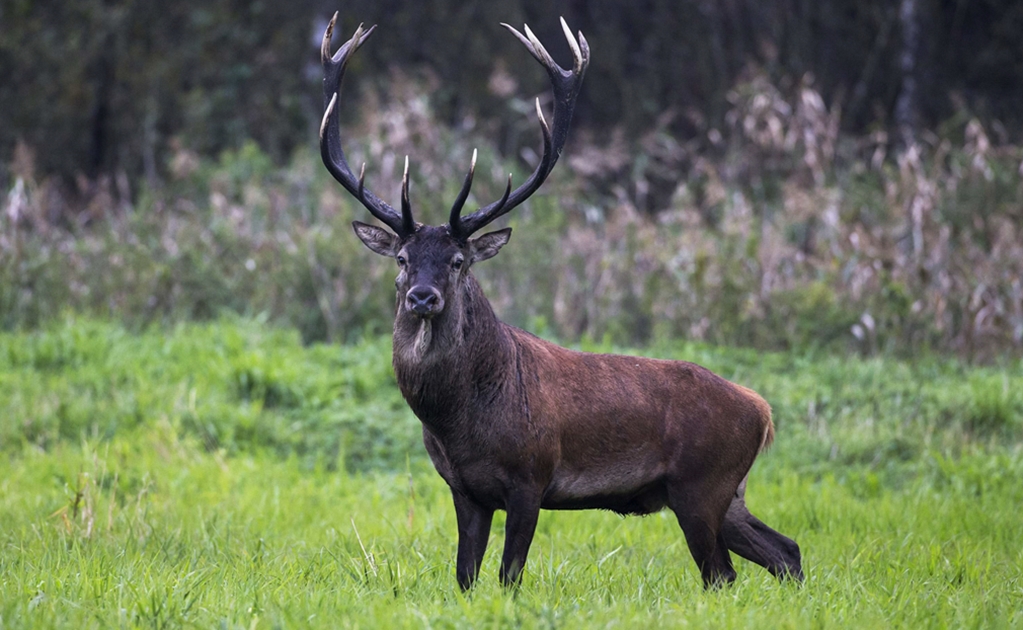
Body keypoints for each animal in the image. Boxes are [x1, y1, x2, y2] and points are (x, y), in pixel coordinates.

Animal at [321, 12, 806, 589]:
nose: (422, 297)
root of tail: (762, 410)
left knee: (724, 573)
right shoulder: (463, 488)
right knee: (786, 550)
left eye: (458, 261)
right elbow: (465, 576)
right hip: (727, 494)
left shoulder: (532, 477)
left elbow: (509, 575)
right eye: (401, 259)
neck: (457, 423)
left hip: (702, 485)